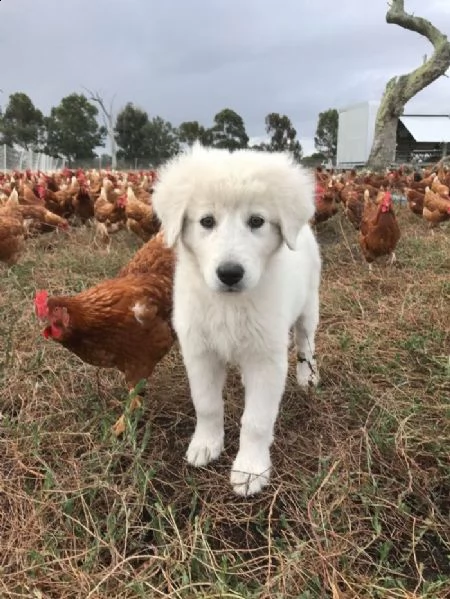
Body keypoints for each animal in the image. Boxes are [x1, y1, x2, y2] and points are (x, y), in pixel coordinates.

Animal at [153, 145, 322, 496]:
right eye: (206, 221)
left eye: (257, 221)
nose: (230, 273)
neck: (228, 305)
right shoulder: (199, 352)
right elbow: (206, 404)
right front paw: (206, 444)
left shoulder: (266, 359)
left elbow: (256, 420)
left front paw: (250, 469)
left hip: (309, 304)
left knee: (305, 343)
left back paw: (307, 376)